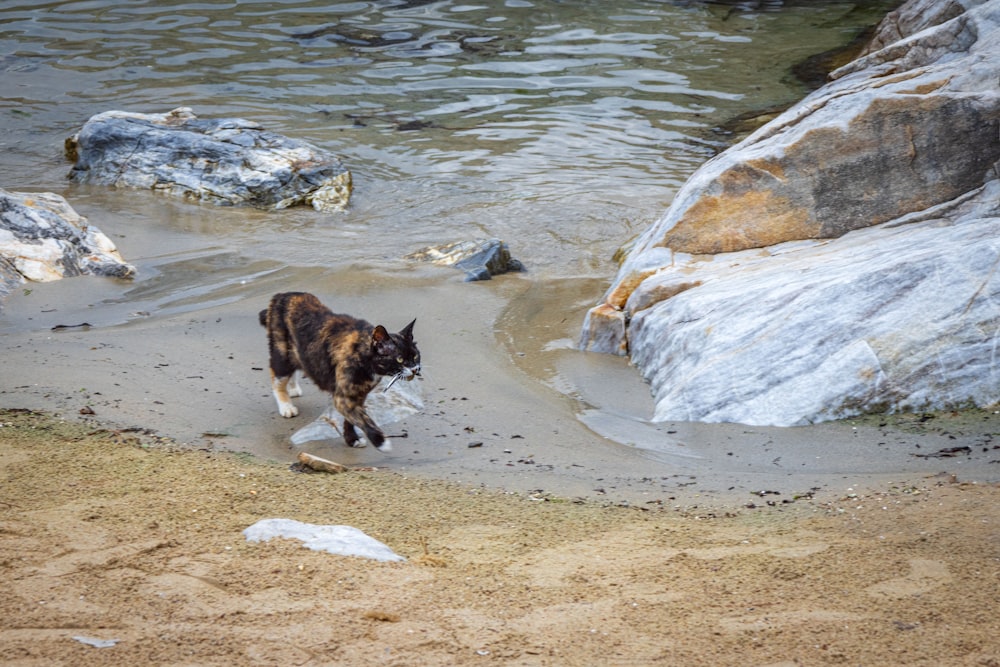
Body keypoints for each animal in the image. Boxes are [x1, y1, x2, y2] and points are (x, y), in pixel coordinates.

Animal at [260, 290, 420, 452]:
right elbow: (363, 418)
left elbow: (351, 419)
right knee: (277, 378)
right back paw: (286, 406)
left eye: (415, 356)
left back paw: (293, 389)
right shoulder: (342, 398)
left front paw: (352, 439)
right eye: (399, 359)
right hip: (281, 353)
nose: (415, 369)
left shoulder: (358, 395)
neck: (361, 353)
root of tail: (282, 295)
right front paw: (381, 441)